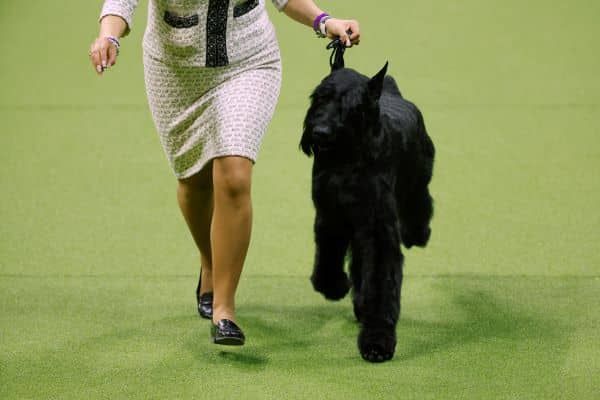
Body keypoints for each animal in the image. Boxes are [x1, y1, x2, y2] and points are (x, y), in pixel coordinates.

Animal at [302, 60, 434, 362]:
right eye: (320, 97)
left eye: (354, 106)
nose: (320, 132)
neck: (347, 160)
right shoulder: (331, 216)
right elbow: (328, 256)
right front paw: (333, 285)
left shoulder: (377, 229)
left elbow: (380, 282)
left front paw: (377, 341)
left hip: (418, 177)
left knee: (421, 201)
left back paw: (417, 233)